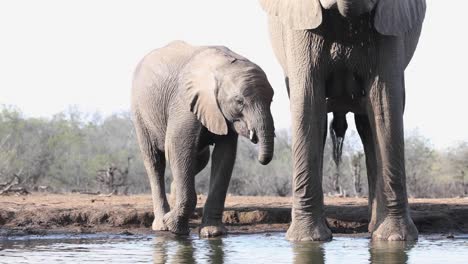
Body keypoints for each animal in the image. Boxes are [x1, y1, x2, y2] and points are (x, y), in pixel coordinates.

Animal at [132, 41, 274, 237]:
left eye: (272, 100)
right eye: (239, 101)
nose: (261, 158)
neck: (222, 66)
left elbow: (225, 156)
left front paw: (213, 233)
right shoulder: (184, 102)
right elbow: (177, 147)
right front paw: (175, 228)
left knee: (201, 158)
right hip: (140, 111)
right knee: (155, 161)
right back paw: (162, 224)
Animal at [262, 0, 426, 241]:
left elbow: (385, 103)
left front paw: (395, 240)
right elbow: (308, 103)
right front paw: (306, 240)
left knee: (367, 124)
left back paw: (374, 229)